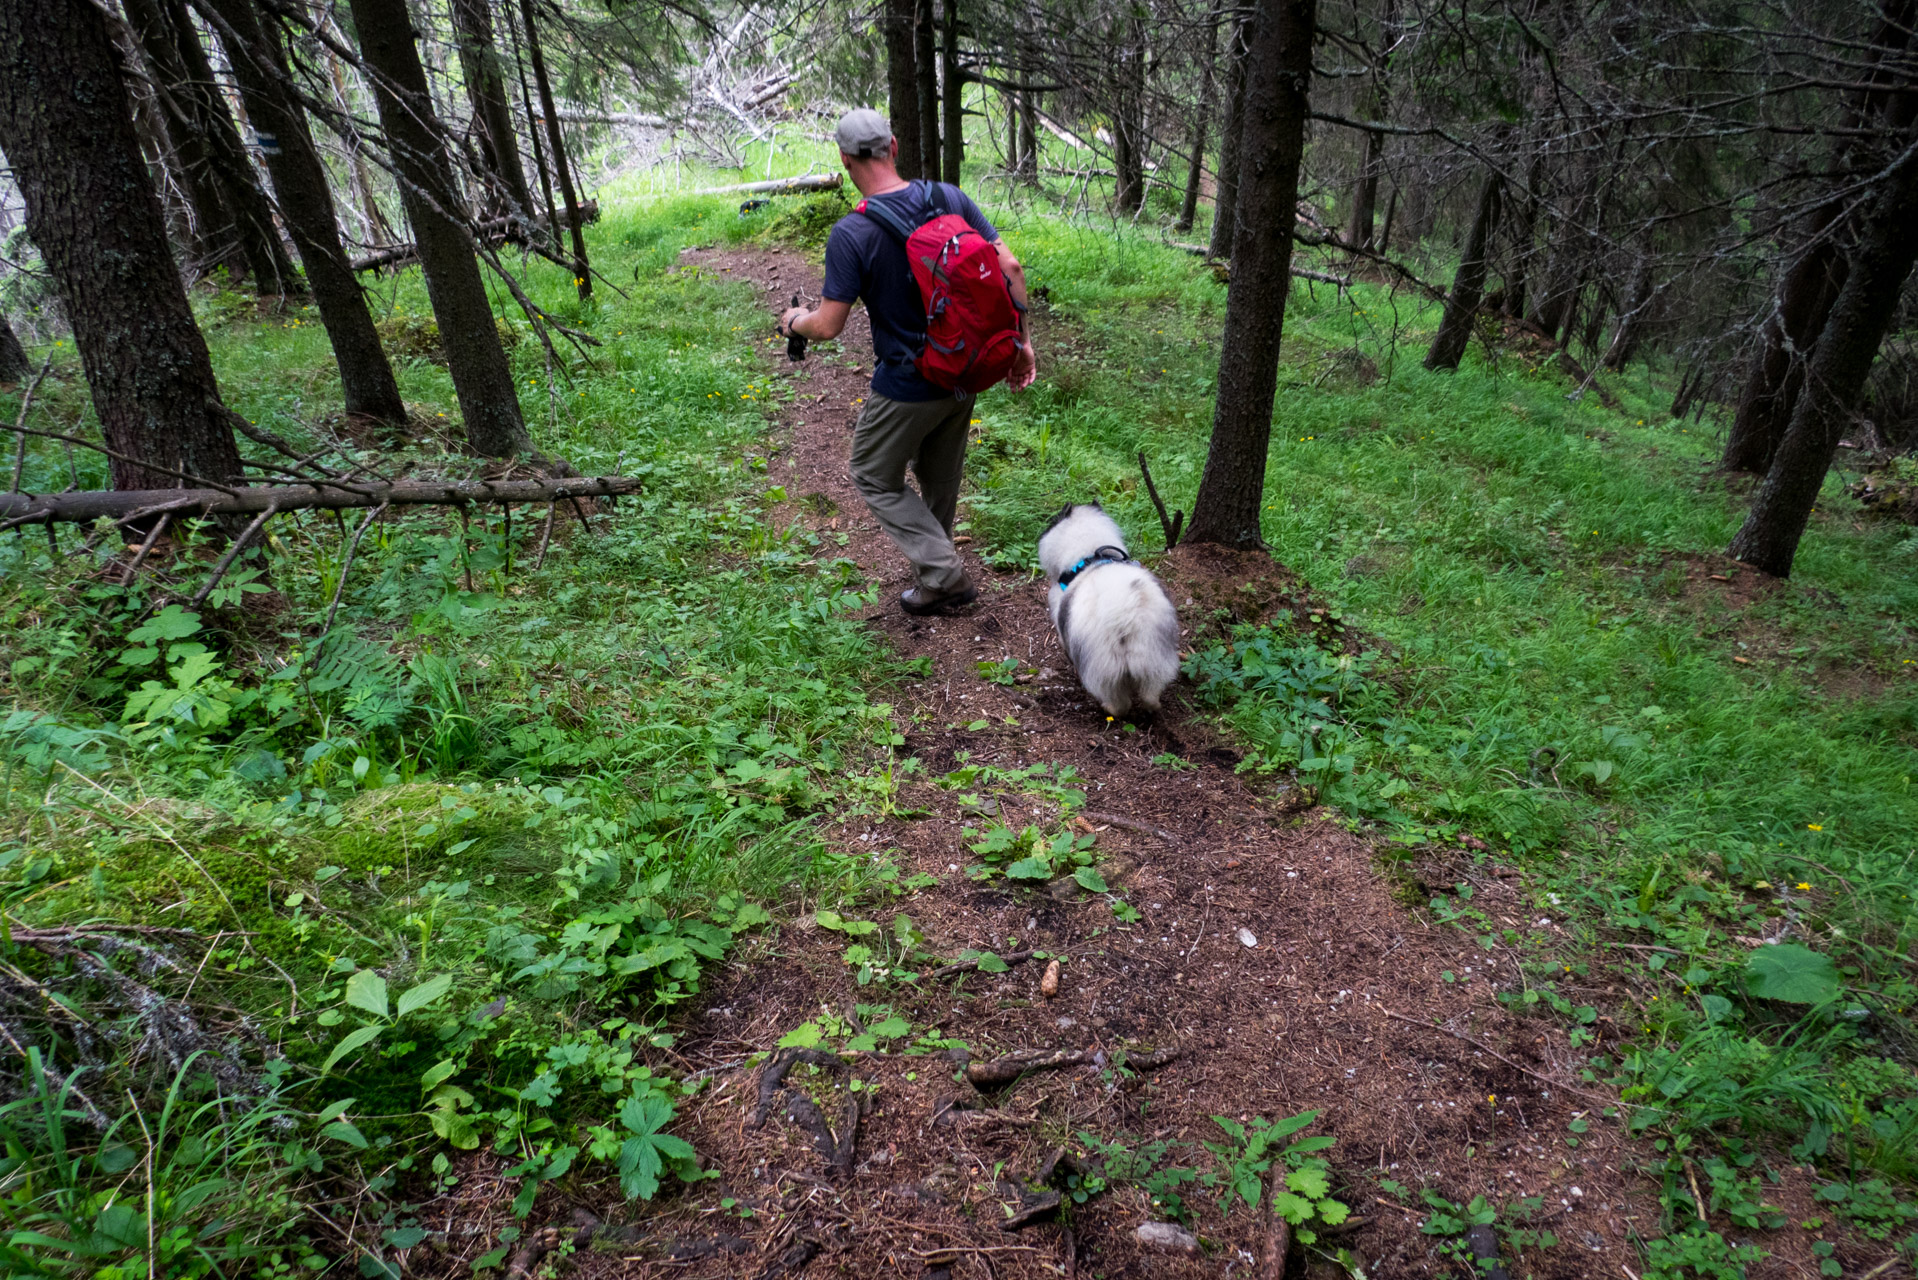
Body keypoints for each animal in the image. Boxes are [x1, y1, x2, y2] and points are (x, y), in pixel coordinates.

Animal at [1043, 502, 1173, 721]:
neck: (1088, 557)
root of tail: (1124, 612)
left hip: (1103, 667)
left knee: (1120, 703)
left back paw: (1107, 708)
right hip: (1153, 657)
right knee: (1149, 695)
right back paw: (1153, 708)